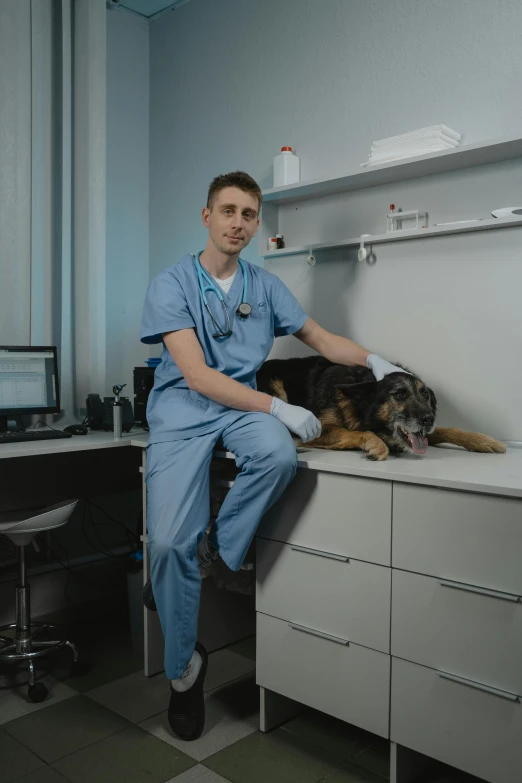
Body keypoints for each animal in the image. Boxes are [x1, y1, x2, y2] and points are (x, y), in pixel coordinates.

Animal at [256, 358, 504, 462]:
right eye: (400, 394)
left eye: (425, 395)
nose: (429, 418)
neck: (360, 404)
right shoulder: (319, 428)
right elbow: (357, 432)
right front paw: (377, 445)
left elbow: (448, 430)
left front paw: (484, 440)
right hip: (275, 386)